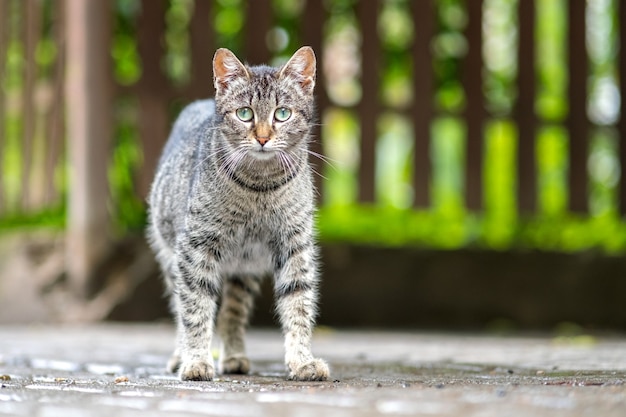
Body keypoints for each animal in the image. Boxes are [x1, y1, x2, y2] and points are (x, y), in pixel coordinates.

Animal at [147, 46, 330, 380]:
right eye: (245, 113)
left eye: (282, 113)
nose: (262, 138)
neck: (260, 187)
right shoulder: (195, 247)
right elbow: (195, 309)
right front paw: (196, 360)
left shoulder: (294, 244)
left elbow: (298, 303)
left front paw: (302, 360)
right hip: (169, 257)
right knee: (180, 309)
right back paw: (181, 355)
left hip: (244, 271)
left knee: (232, 314)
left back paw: (233, 356)